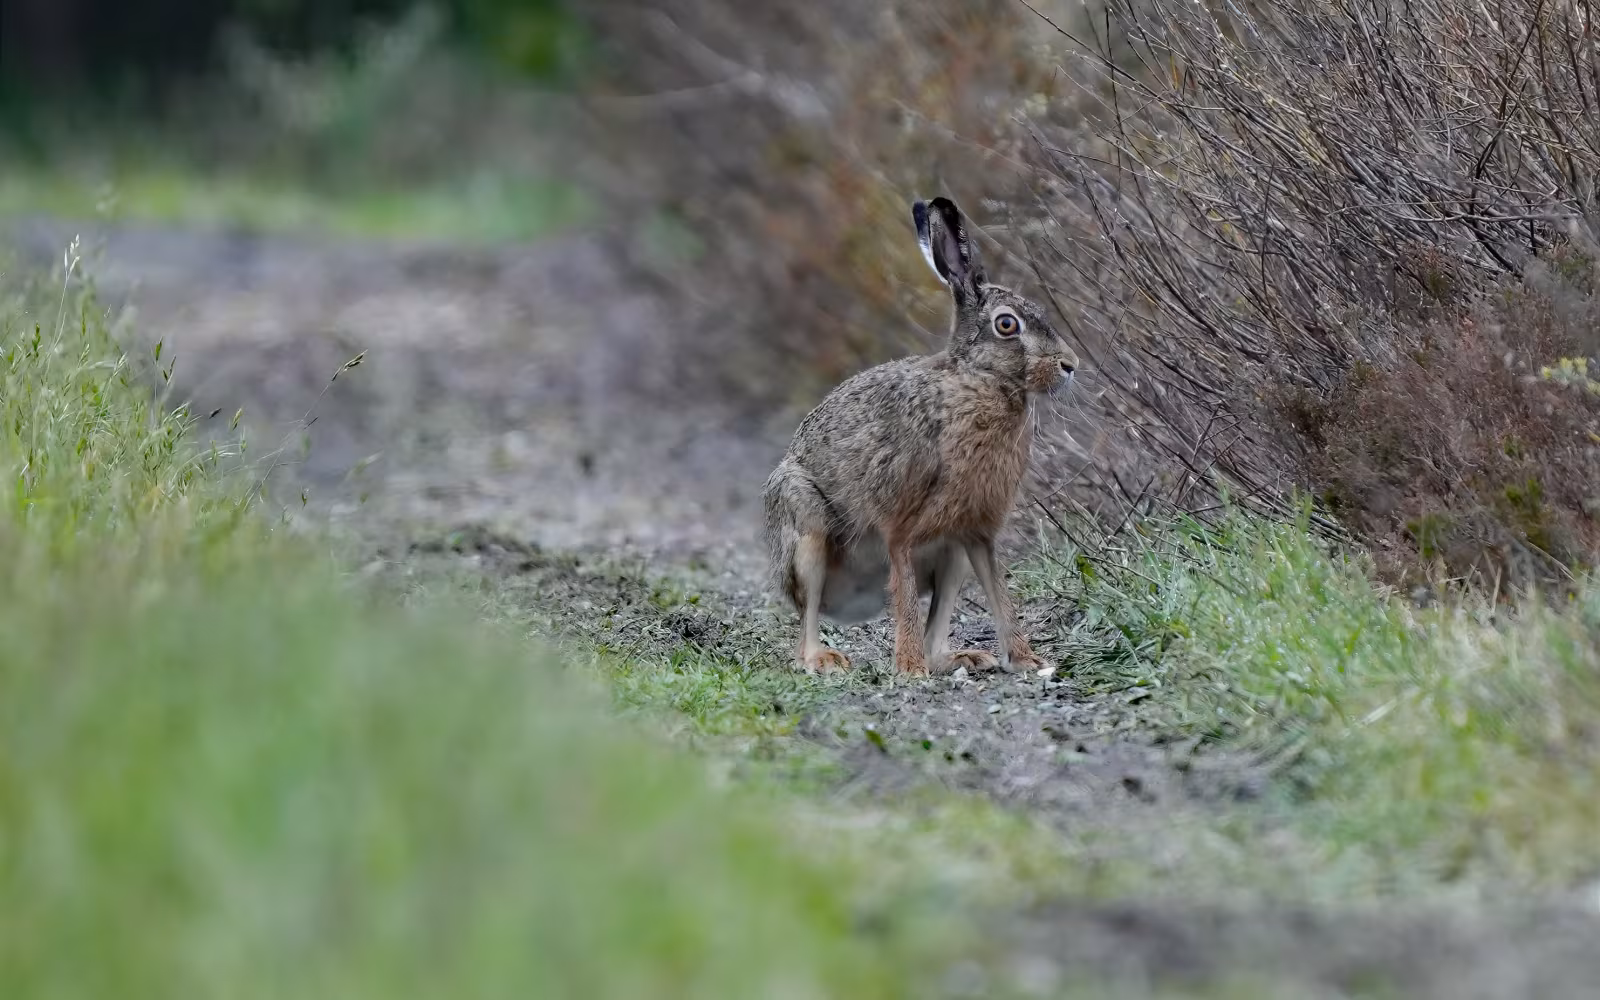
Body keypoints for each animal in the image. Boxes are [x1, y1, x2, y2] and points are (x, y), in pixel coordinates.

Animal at [762, 196, 1077, 677]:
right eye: (1007, 325)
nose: (1070, 365)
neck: (978, 381)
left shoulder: (976, 531)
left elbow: (1000, 595)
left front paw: (1026, 660)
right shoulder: (901, 529)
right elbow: (907, 597)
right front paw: (909, 669)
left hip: (951, 556)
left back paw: (960, 657)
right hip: (805, 526)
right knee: (807, 620)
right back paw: (825, 658)